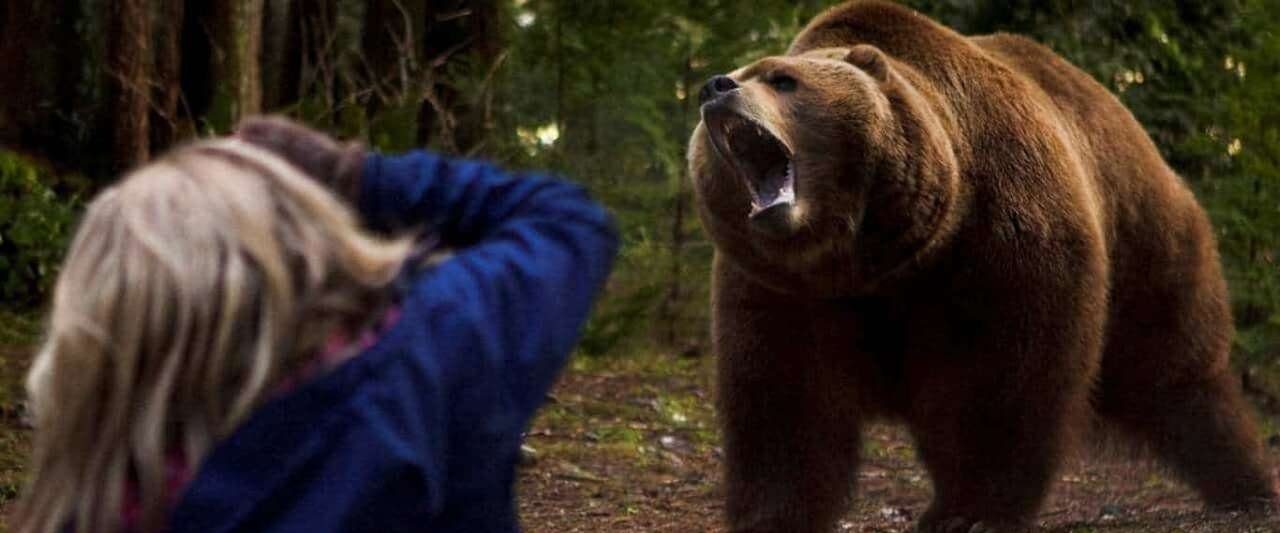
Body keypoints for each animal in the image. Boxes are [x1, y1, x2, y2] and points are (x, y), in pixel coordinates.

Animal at [686, 1, 1277, 532]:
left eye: (782, 79)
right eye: (744, 72)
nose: (715, 87)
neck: (872, 257)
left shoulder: (997, 238)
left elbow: (999, 379)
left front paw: (968, 512)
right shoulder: (783, 289)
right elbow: (785, 396)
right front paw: (772, 515)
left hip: (1147, 240)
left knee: (1177, 373)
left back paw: (1244, 484)